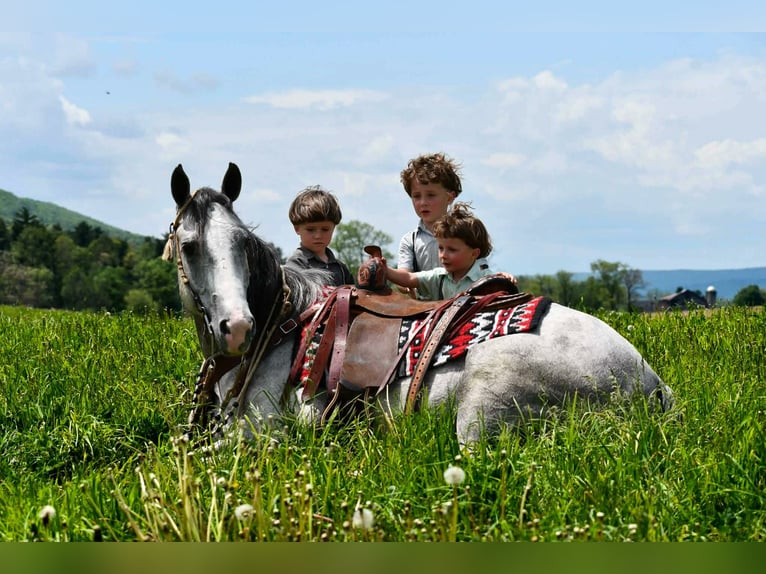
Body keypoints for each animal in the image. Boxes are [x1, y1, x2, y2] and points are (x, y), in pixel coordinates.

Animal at [164, 162, 674, 446]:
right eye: (189, 245)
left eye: (243, 243)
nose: (237, 326)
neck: (283, 328)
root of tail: (645, 381)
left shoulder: (259, 436)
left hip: (481, 417)